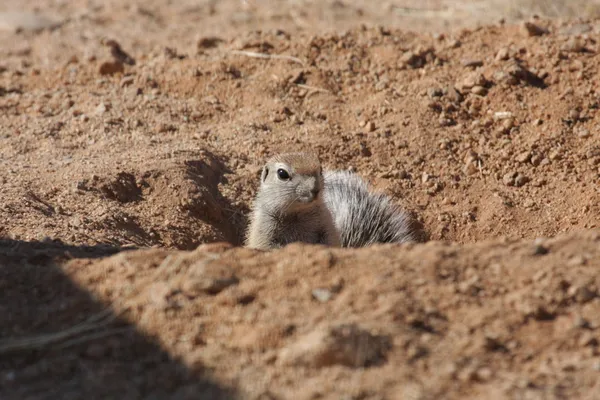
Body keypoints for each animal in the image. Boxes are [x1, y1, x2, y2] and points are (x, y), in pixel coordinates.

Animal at [244, 153, 418, 250]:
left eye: (320, 169)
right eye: (282, 173)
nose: (314, 188)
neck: (297, 214)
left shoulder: (326, 223)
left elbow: (329, 241)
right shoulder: (263, 228)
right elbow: (267, 245)